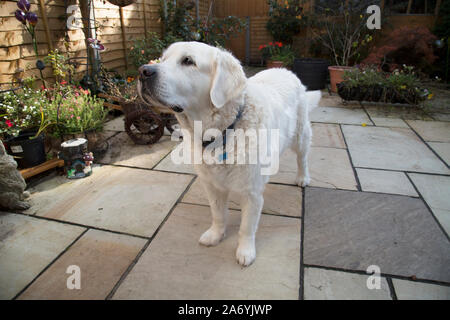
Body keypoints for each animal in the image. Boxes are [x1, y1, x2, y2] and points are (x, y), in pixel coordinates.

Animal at [137, 41, 320, 266]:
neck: (221, 133)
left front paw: (245, 251)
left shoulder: (251, 193)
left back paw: (303, 177)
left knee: (302, 158)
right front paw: (216, 235)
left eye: (188, 61)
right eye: (162, 59)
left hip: (301, 135)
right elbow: (218, 214)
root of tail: (285, 70)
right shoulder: (212, 185)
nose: (143, 71)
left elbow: (246, 226)